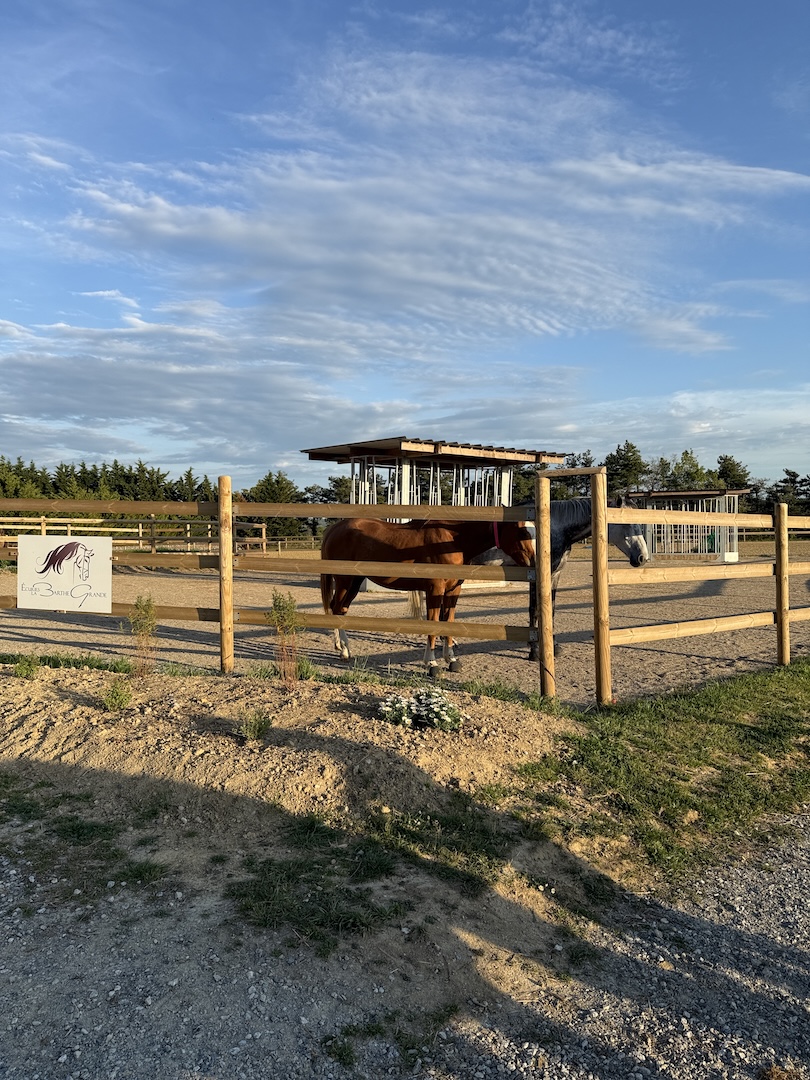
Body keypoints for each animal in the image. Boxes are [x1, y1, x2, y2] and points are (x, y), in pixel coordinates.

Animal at [320, 516, 535, 675]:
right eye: (523, 532)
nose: (534, 563)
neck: (452, 540)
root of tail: (335, 528)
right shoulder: (435, 590)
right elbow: (434, 623)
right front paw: (431, 664)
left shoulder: (453, 591)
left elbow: (448, 622)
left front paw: (451, 659)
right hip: (345, 580)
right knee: (337, 609)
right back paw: (344, 651)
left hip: (354, 582)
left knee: (340, 610)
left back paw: (342, 647)